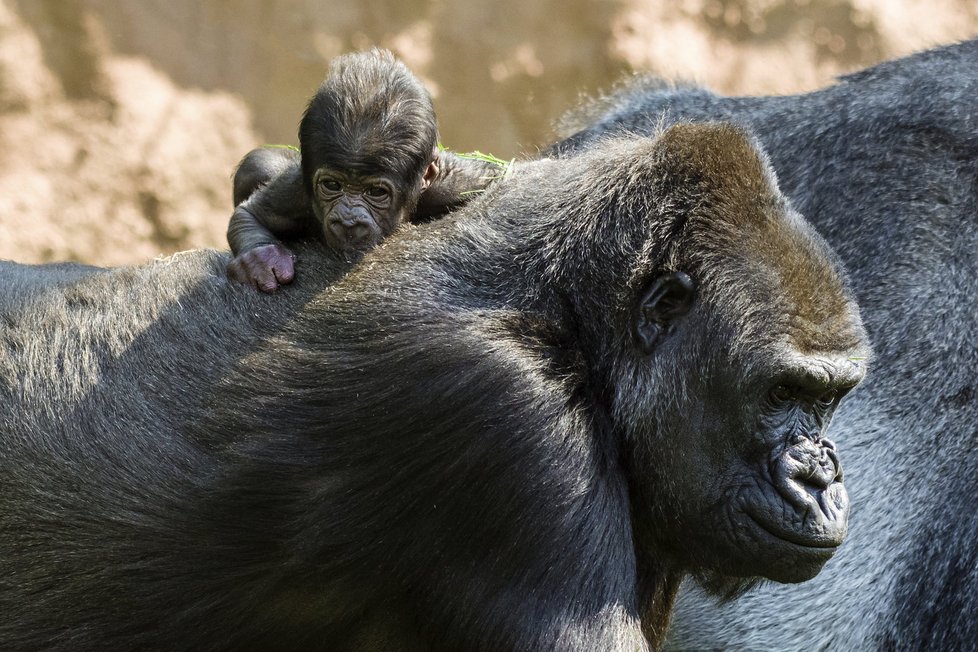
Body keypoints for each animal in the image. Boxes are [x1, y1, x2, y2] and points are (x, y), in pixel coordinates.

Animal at [227, 51, 436, 292]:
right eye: (332, 185)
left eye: (376, 192)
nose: (348, 221)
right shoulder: (294, 194)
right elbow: (250, 214)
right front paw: (262, 259)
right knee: (257, 166)